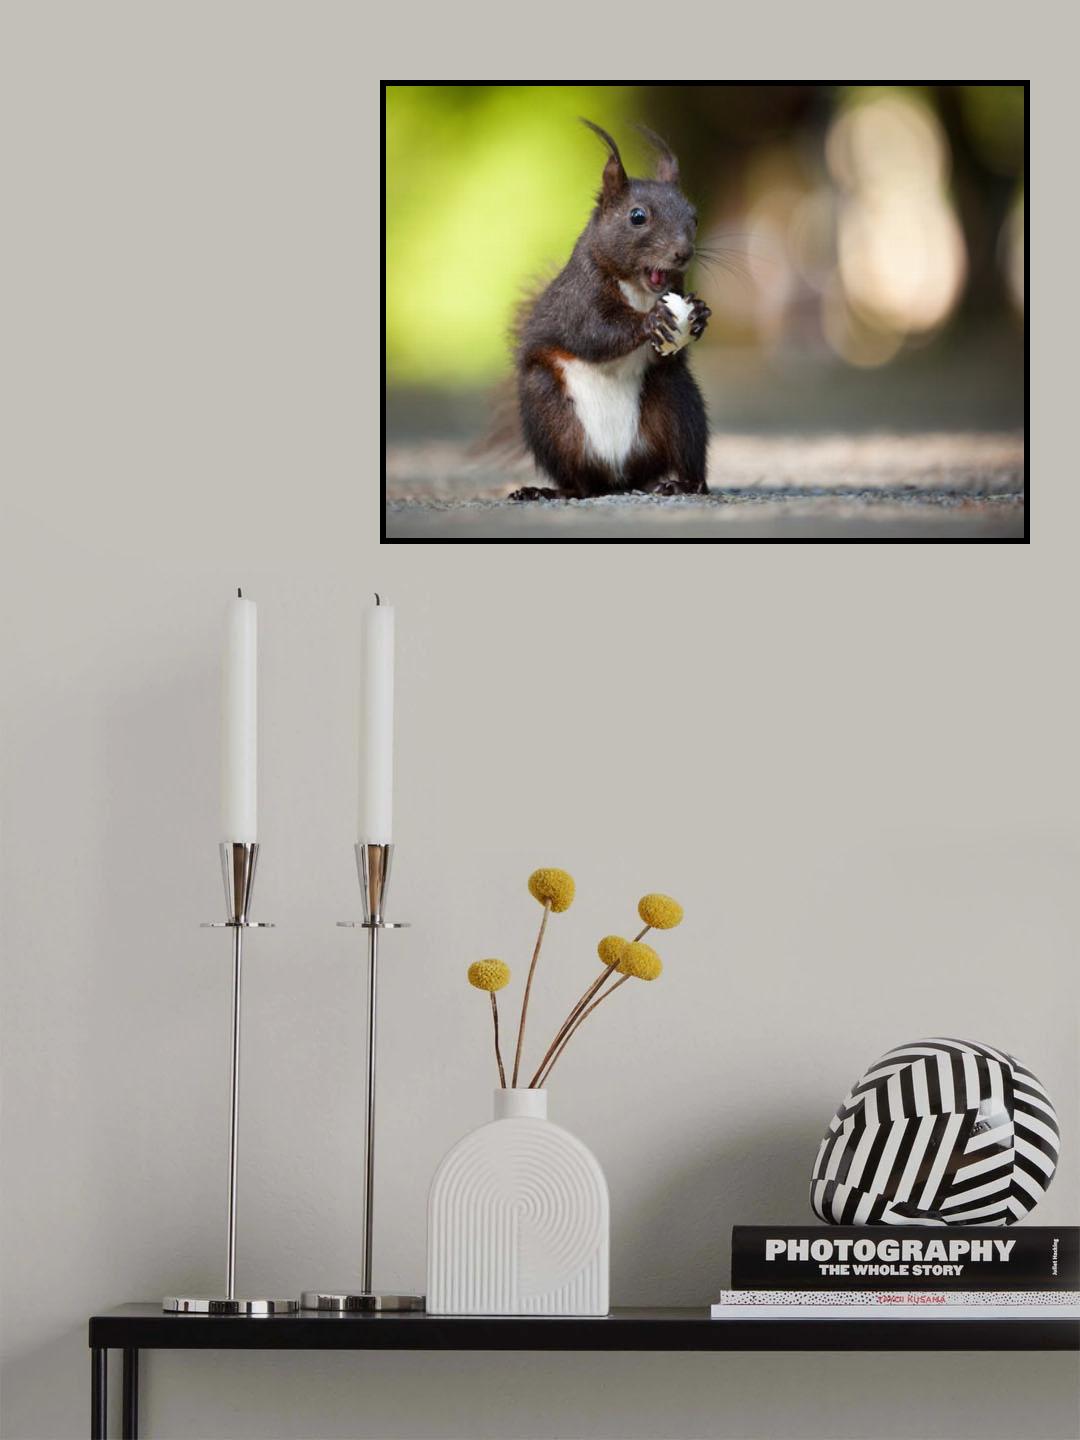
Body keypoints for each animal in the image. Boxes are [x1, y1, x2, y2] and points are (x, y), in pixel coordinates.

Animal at [510, 120, 710, 502]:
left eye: (694, 217)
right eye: (637, 216)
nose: (683, 253)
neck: (640, 291)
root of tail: (619, 476)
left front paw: (701, 314)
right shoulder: (577, 300)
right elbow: (593, 334)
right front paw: (651, 321)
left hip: (677, 401)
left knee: (685, 456)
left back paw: (682, 483)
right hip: (548, 413)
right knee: (579, 483)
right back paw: (549, 491)